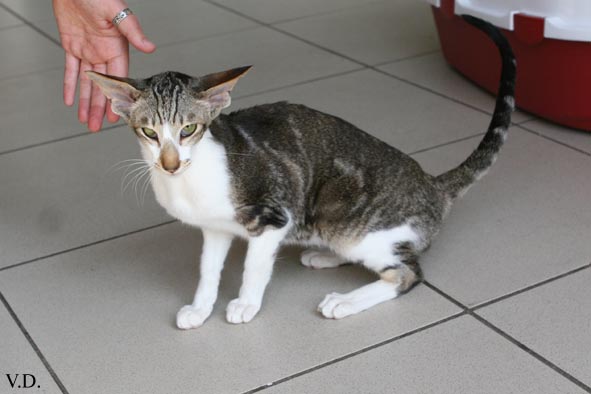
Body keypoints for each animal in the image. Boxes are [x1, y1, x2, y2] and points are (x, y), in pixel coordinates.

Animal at [86, 14, 512, 330]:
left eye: (188, 129)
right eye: (149, 133)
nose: (169, 163)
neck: (190, 181)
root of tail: (433, 186)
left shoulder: (274, 215)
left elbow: (255, 266)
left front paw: (244, 304)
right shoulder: (215, 228)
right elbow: (208, 269)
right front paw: (200, 307)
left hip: (354, 224)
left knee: (407, 272)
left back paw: (344, 300)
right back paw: (324, 257)